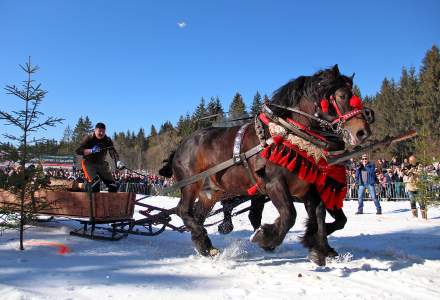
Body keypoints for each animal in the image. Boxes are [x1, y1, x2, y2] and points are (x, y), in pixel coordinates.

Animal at [160, 65, 372, 264]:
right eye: (342, 96)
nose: (363, 131)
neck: (287, 135)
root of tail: (181, 145)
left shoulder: (308, 187)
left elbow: (319, 215)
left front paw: (319, 249)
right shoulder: (273, 184)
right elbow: (289, 215)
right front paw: (265, 237)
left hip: (211, 192)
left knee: (197, 215)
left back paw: (205, 246)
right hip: (190, 185)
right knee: (183, 210)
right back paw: (205, 240)